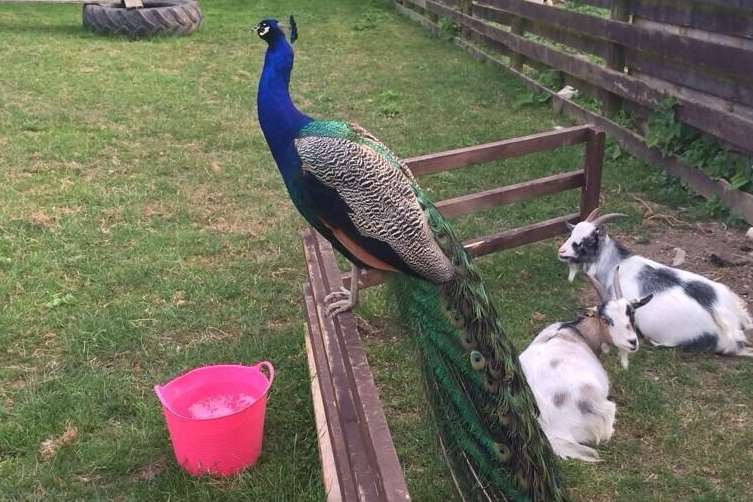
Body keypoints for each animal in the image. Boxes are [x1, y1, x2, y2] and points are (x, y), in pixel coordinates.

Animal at [520, 270, 648, 462]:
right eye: (605, 319)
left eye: (631, 313)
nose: (632, 342)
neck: (577, 332)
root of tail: (550, 432)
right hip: (602, 408)